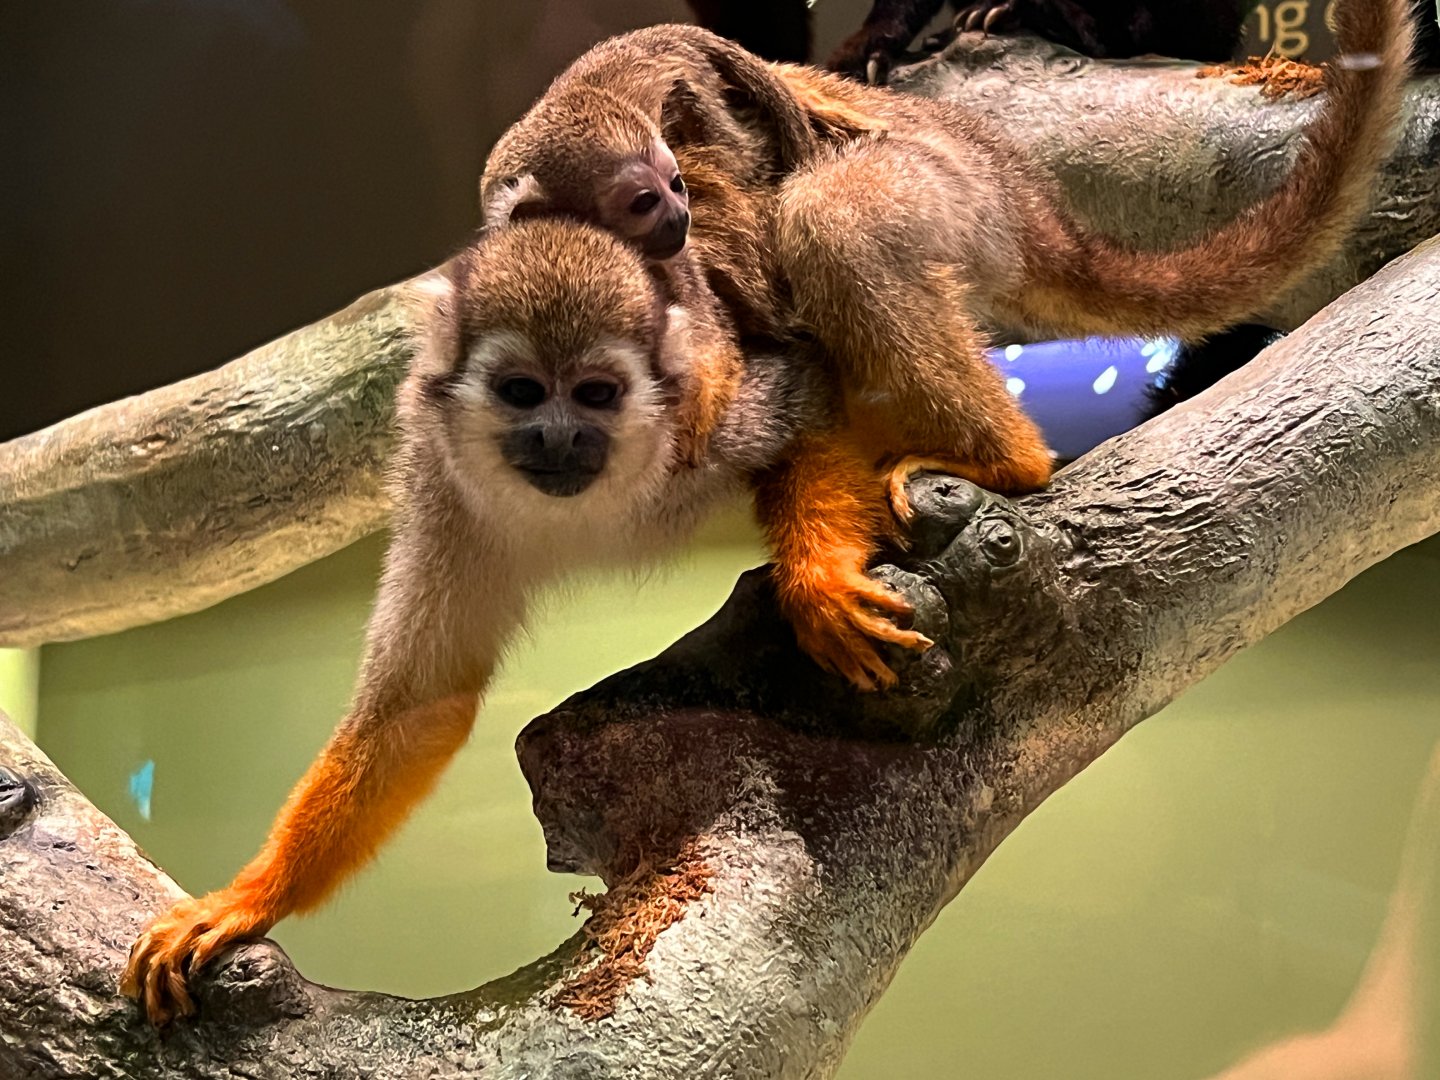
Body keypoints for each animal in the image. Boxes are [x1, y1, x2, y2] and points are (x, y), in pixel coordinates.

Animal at [121, 216, 922, 1027]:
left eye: (596, 395)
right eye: (521, 392)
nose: (558, 436)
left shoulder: (712, 414)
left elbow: (811, 407)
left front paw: (818, 581)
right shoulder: (444, 483)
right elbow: (418, 705)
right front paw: (251, 898)